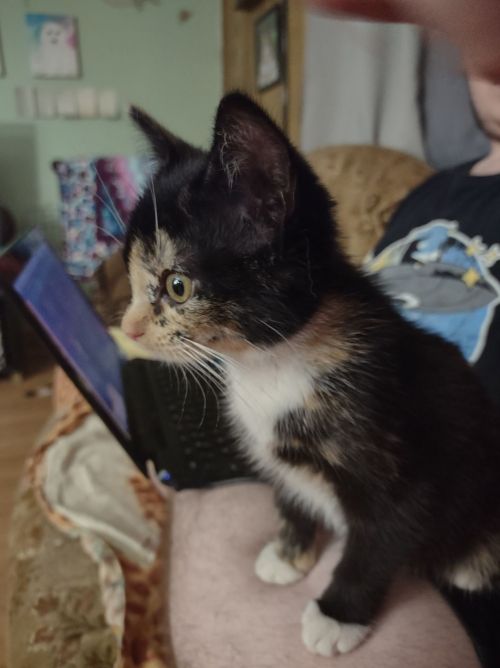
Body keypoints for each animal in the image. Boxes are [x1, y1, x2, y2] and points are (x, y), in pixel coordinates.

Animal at [122, 92, 500, 656]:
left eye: (177, 286)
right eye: (130, 274)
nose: (127, 328)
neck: (271, 362)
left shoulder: (411, 466)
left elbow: (377, 543)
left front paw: (337, 615)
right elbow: (289, 492)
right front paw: (289, 554)